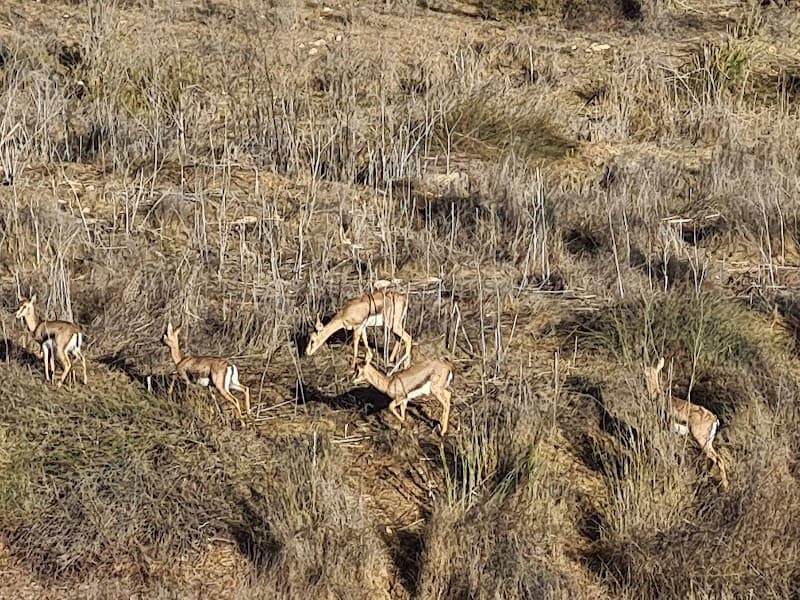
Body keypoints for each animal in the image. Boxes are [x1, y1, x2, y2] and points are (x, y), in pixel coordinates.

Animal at [644, 357, 729, 489]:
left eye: (647, 371)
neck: (657, 396)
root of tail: (715, 419)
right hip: (707, 442)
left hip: (701, 440)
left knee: (718, 459)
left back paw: (724, 486)